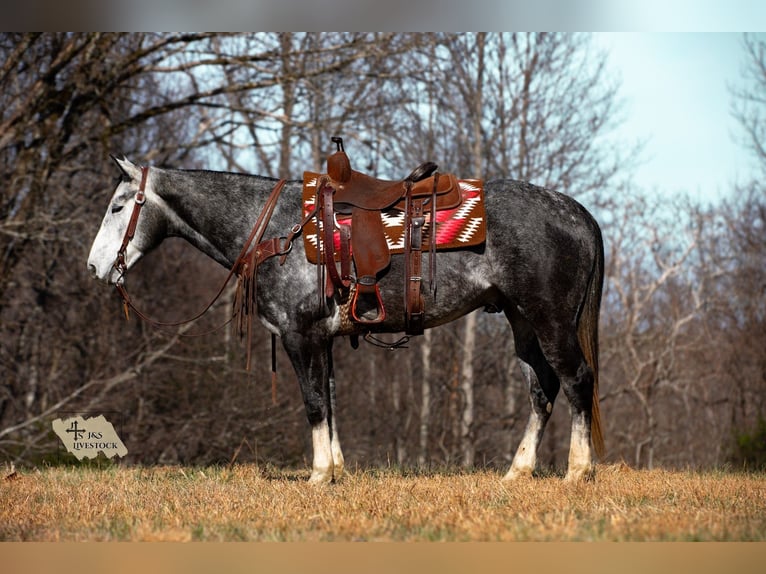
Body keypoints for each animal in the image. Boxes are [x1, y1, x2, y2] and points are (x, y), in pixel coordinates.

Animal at [87, 155, 605, 483]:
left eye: (117, 206)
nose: (94, 267)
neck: (281, 231)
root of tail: (576, 212)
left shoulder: (300, 336)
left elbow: (315, 402)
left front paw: (318, 475)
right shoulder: (323, 340)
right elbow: (331, 399)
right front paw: (336, 468)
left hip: (550, 319)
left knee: (577, 379)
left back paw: (578, 471)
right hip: (522, 322)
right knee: (542, 389)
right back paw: (518, 471)